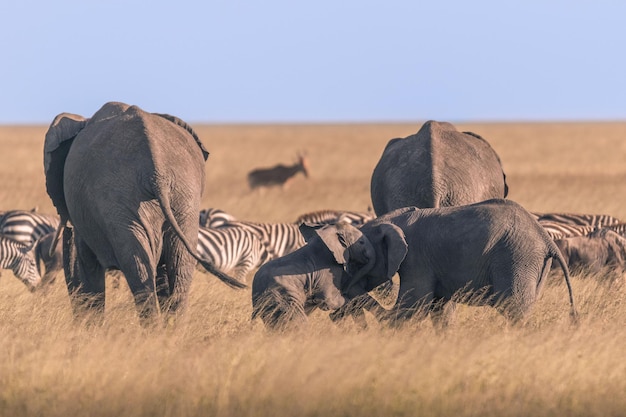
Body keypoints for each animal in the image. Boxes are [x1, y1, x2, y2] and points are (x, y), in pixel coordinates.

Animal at [43, 101, 244, 324]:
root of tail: (157, 172)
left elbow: (81, 264)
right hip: (182, 197)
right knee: (177, 265)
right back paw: (172, 330)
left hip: (126, 200)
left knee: (139, 265)